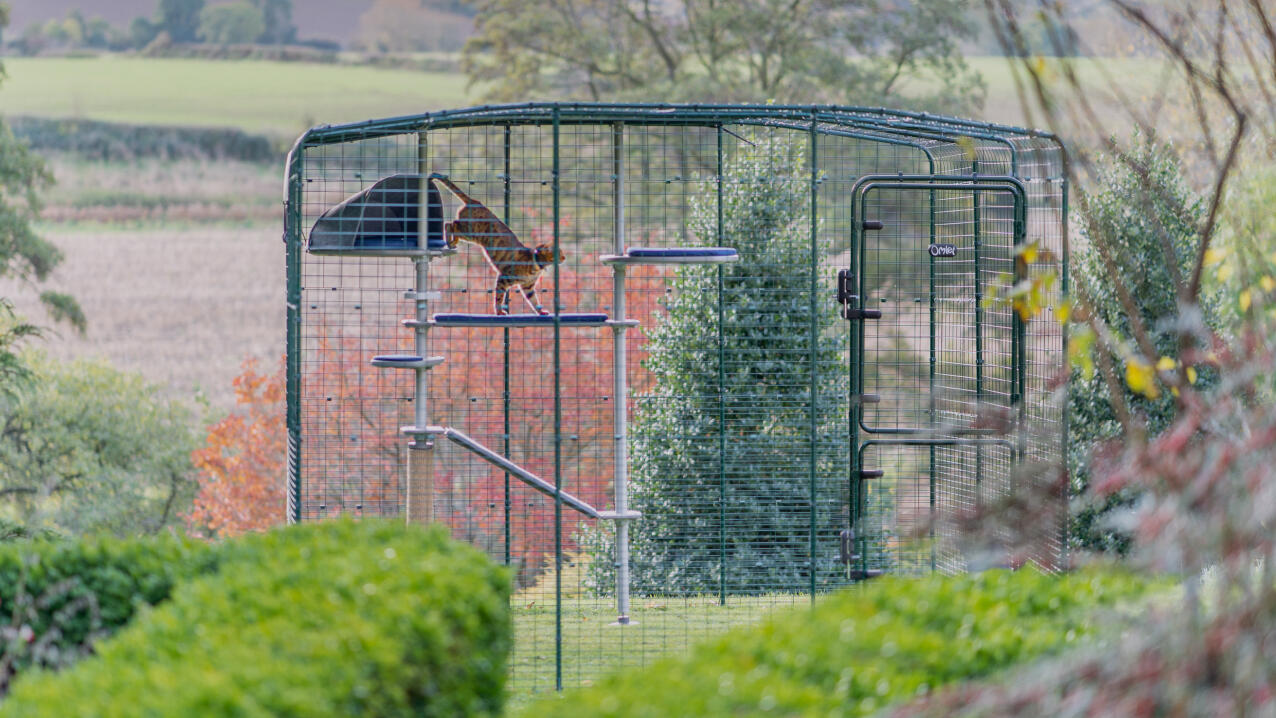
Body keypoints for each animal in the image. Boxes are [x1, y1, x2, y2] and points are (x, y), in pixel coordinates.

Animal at [431, 174, 566, 315]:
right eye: (559, 253)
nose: (564, 257)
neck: (537, 266)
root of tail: (475, 201)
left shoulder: (528, 287)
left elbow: (534, 301)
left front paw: (541, 312)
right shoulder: (504, 278)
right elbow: (499, 298)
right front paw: (499, 312)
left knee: (453, 224)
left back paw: (453, 242)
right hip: (471, 231)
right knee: (451, 224)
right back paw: (450, 241)